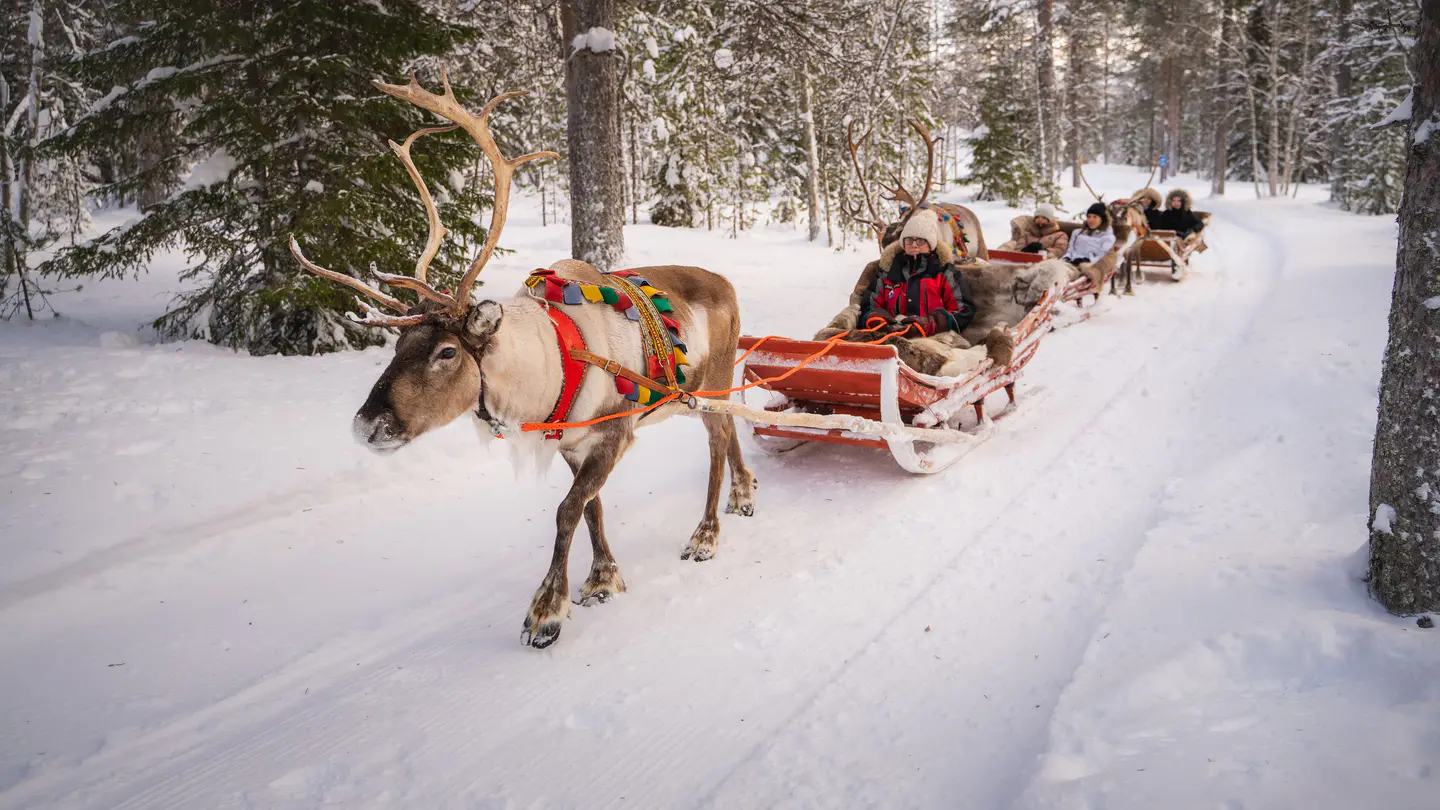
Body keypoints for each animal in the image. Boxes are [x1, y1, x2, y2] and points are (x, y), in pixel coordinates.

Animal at [287, 71, 756, 649]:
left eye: (447, 351)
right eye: (398, 347)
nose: (367, 425)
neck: (548, 366)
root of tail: (726, 283)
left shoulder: (613, 433)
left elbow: (565, 511)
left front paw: (546, 610)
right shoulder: (572, 444)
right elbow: (592, 509)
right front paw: (603, 579)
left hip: (711, 385)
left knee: (716, 445)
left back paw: (706, 534)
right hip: (706, 392)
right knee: (731, 433)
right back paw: (743, 493)